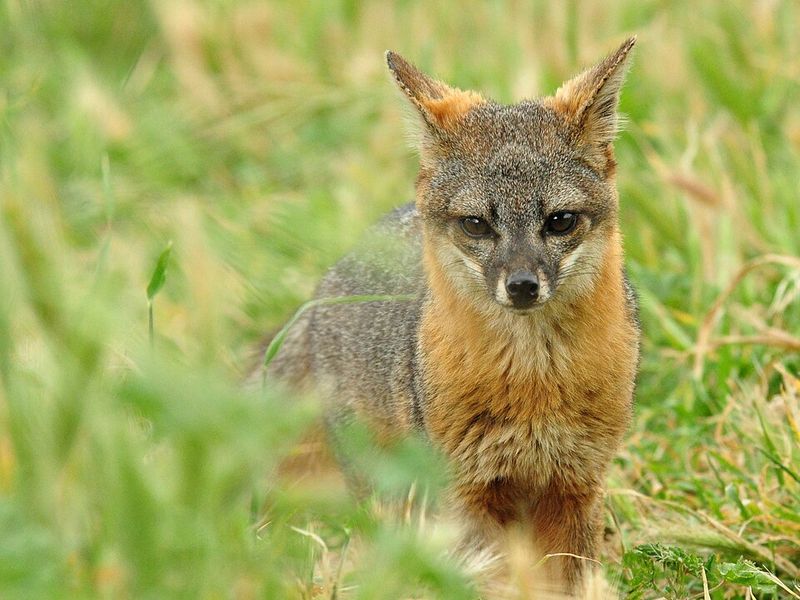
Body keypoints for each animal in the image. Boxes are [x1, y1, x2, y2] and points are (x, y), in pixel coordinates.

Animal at [262, 38, 641, 593]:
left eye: (560, 221)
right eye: (476, 224)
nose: (522, 286)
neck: (534, 383)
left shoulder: (574, 485)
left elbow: (568, 583)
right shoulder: (469, 493)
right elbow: (492, 581)